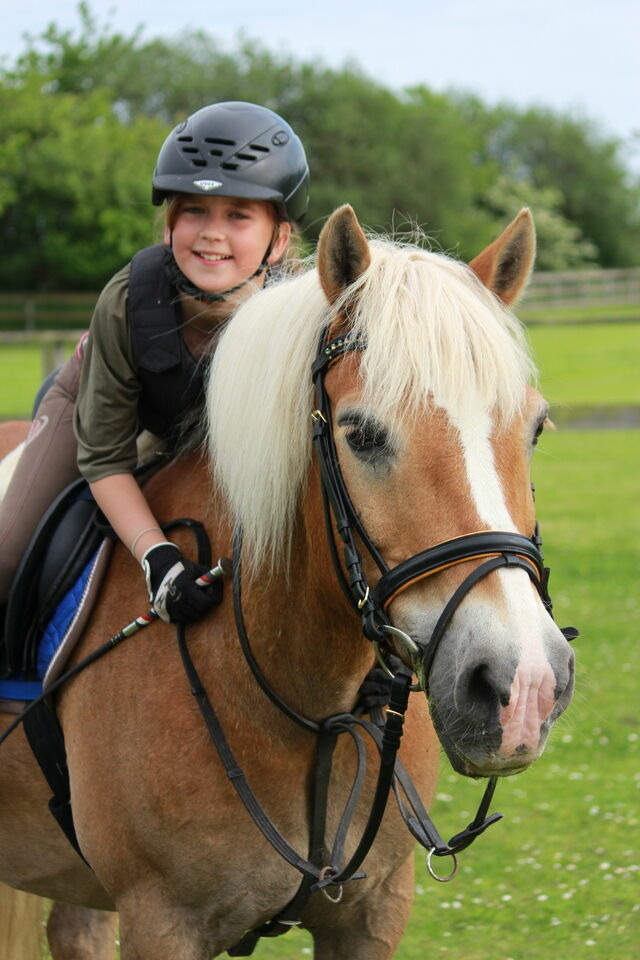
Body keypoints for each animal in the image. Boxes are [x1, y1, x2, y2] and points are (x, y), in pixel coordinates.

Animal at [0, 204, 576, 960]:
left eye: (536, 427)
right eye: (361, 434)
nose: (524, 683)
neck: (304, 697)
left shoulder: (372, 913)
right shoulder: (161, 921)